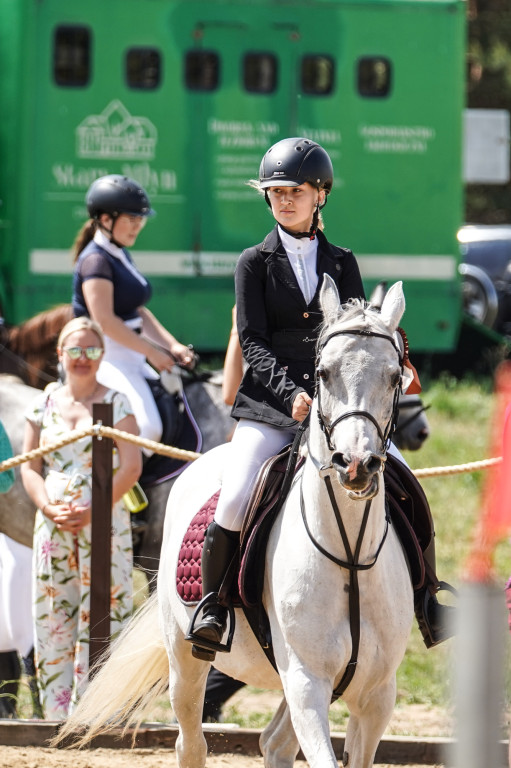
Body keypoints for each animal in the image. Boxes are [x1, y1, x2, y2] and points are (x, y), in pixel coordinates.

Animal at [56, 280, 416, 768]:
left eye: (396, 376)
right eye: (322, 374)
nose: (355, 465)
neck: (349, 554)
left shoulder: (376, 696)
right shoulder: (307, 682)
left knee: (274, 742)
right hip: (186, 659)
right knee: (191, 742)